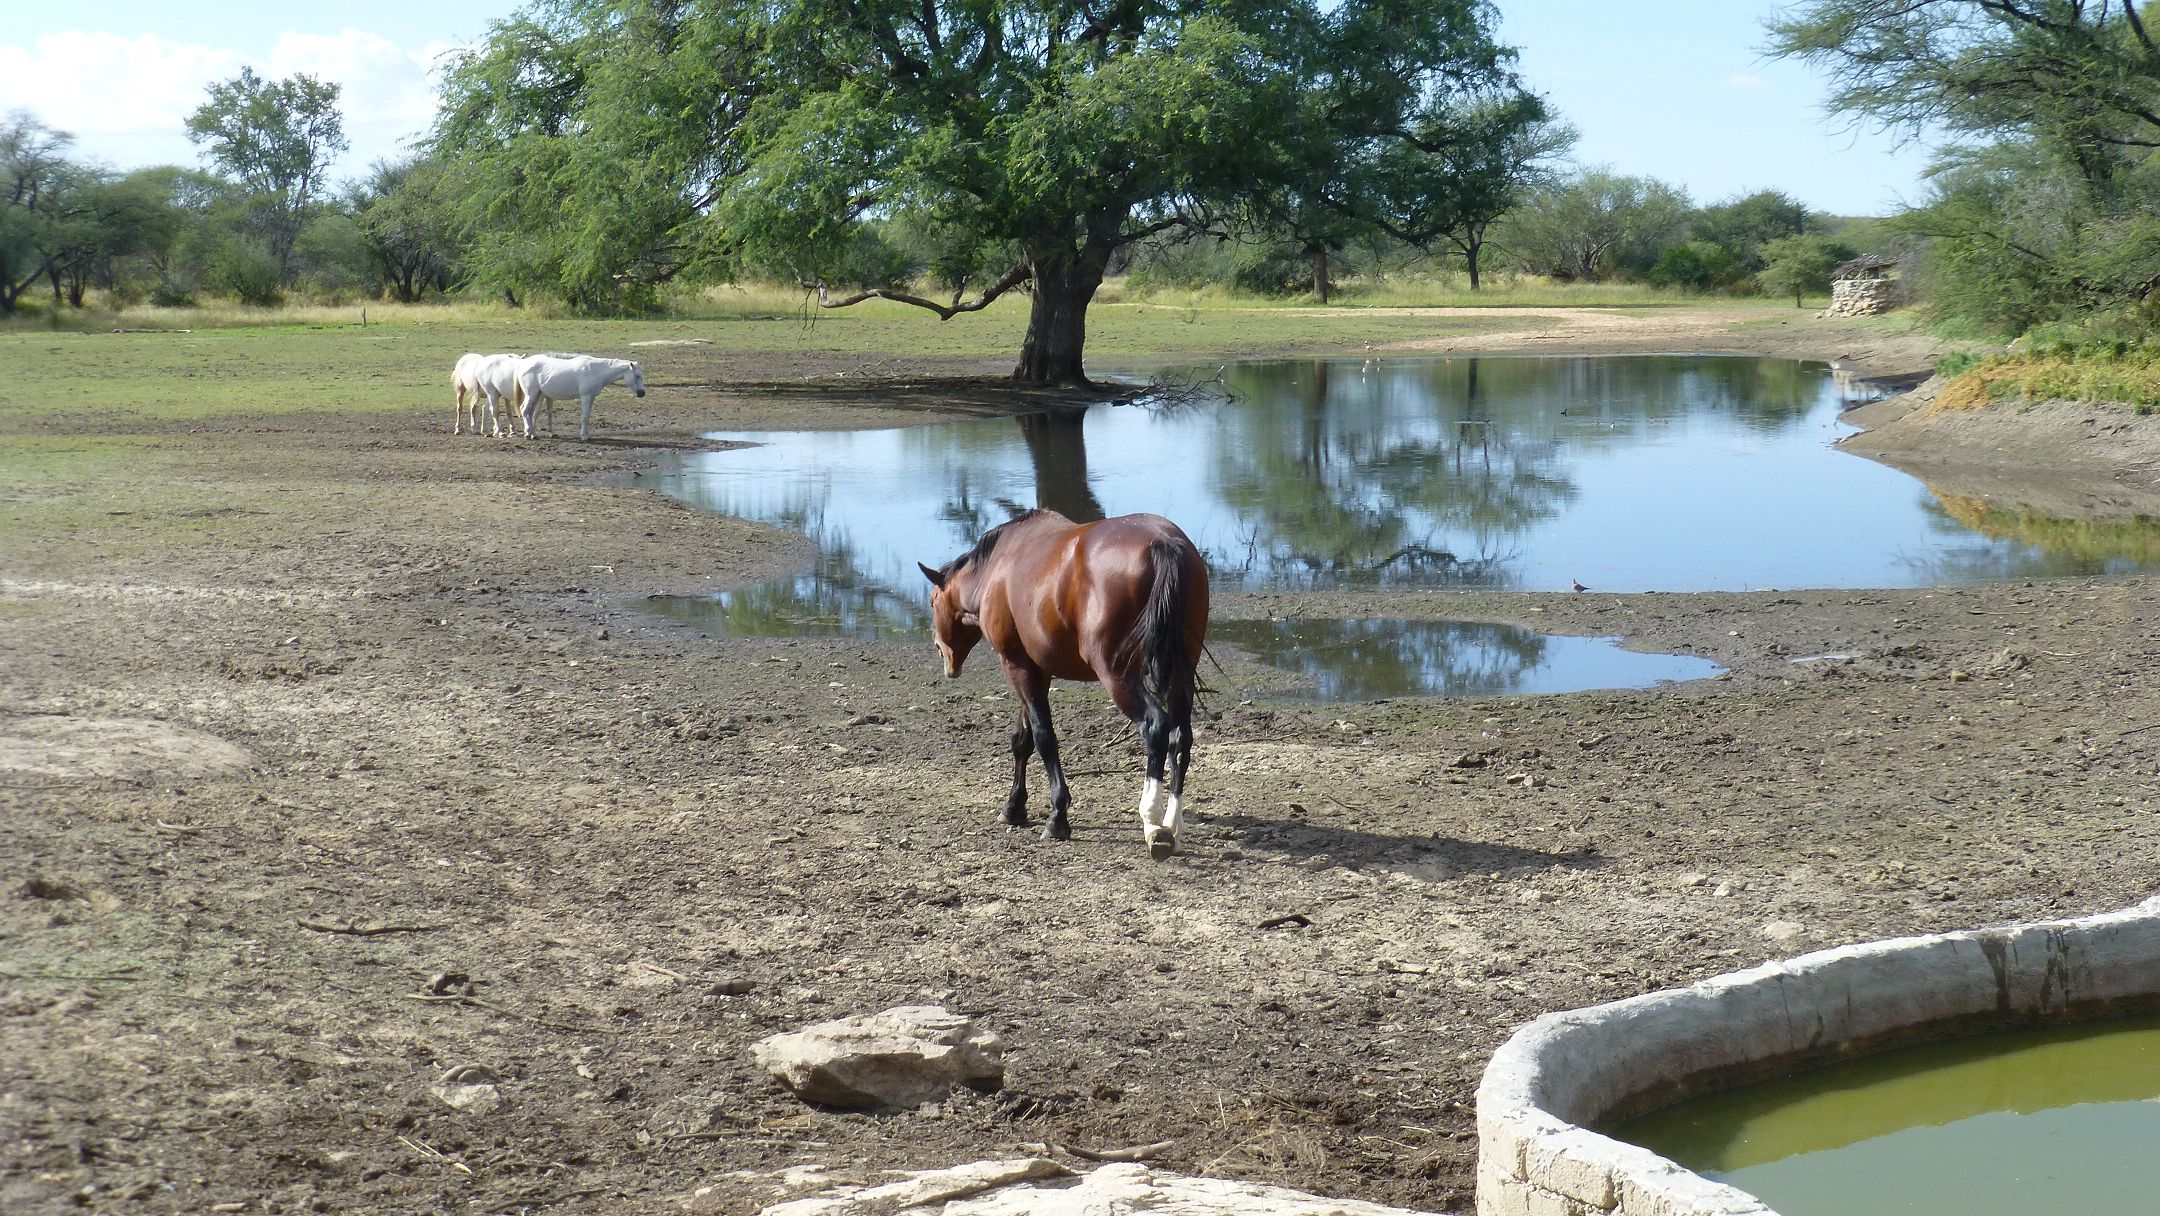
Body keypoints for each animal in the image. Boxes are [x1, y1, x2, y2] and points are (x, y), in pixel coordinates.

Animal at [920, 509, 1209, 859]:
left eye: (932, 602)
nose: (942, 653)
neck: (998, 567)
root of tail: (1162, 543)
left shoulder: (1015, 666)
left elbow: (1044, 737)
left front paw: (1057, 816)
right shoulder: (1034, 670)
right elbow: (1023, 740)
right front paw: (1014, 807)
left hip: (1117, 675)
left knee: (1155, 727)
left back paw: (1153, 824)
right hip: (1181, 673)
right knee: (1180, 739)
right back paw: (1172, 826)